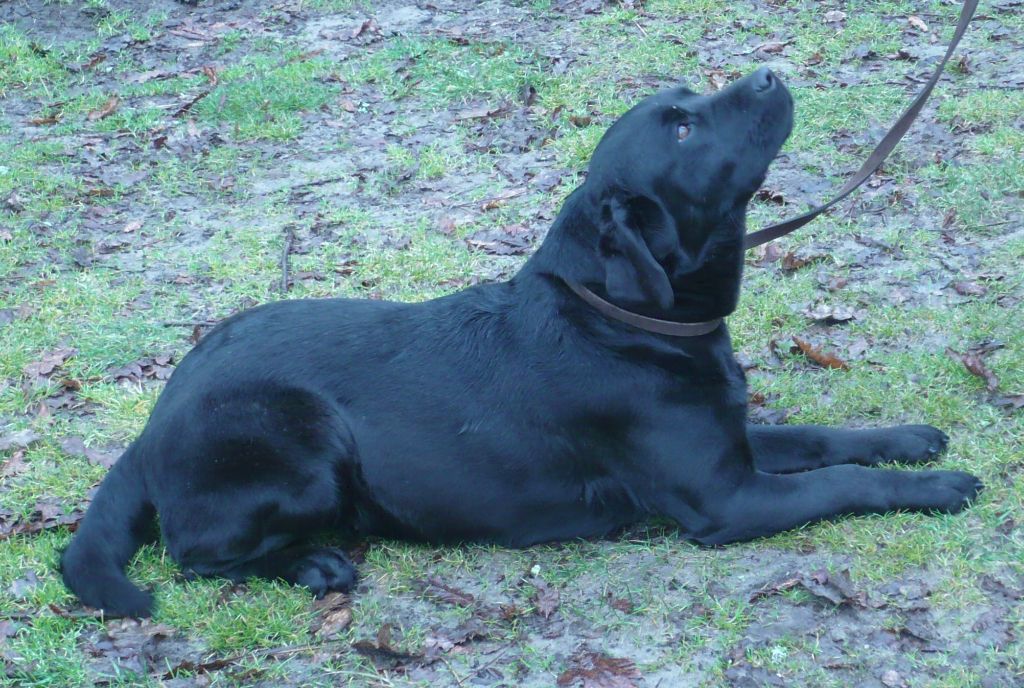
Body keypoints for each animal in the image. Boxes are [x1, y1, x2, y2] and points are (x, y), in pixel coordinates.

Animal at [61, 68, 982, 617]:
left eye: (691, 98)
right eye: (682, 128)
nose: (767, 72)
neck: (619, 317)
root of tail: (150, 426)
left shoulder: (732, 443)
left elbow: (824, 439)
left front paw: (909, 438)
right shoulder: (727, 498)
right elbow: (838, 482)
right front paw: (936, 487)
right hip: (304, 446)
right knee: (195, 555)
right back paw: (315, 566)